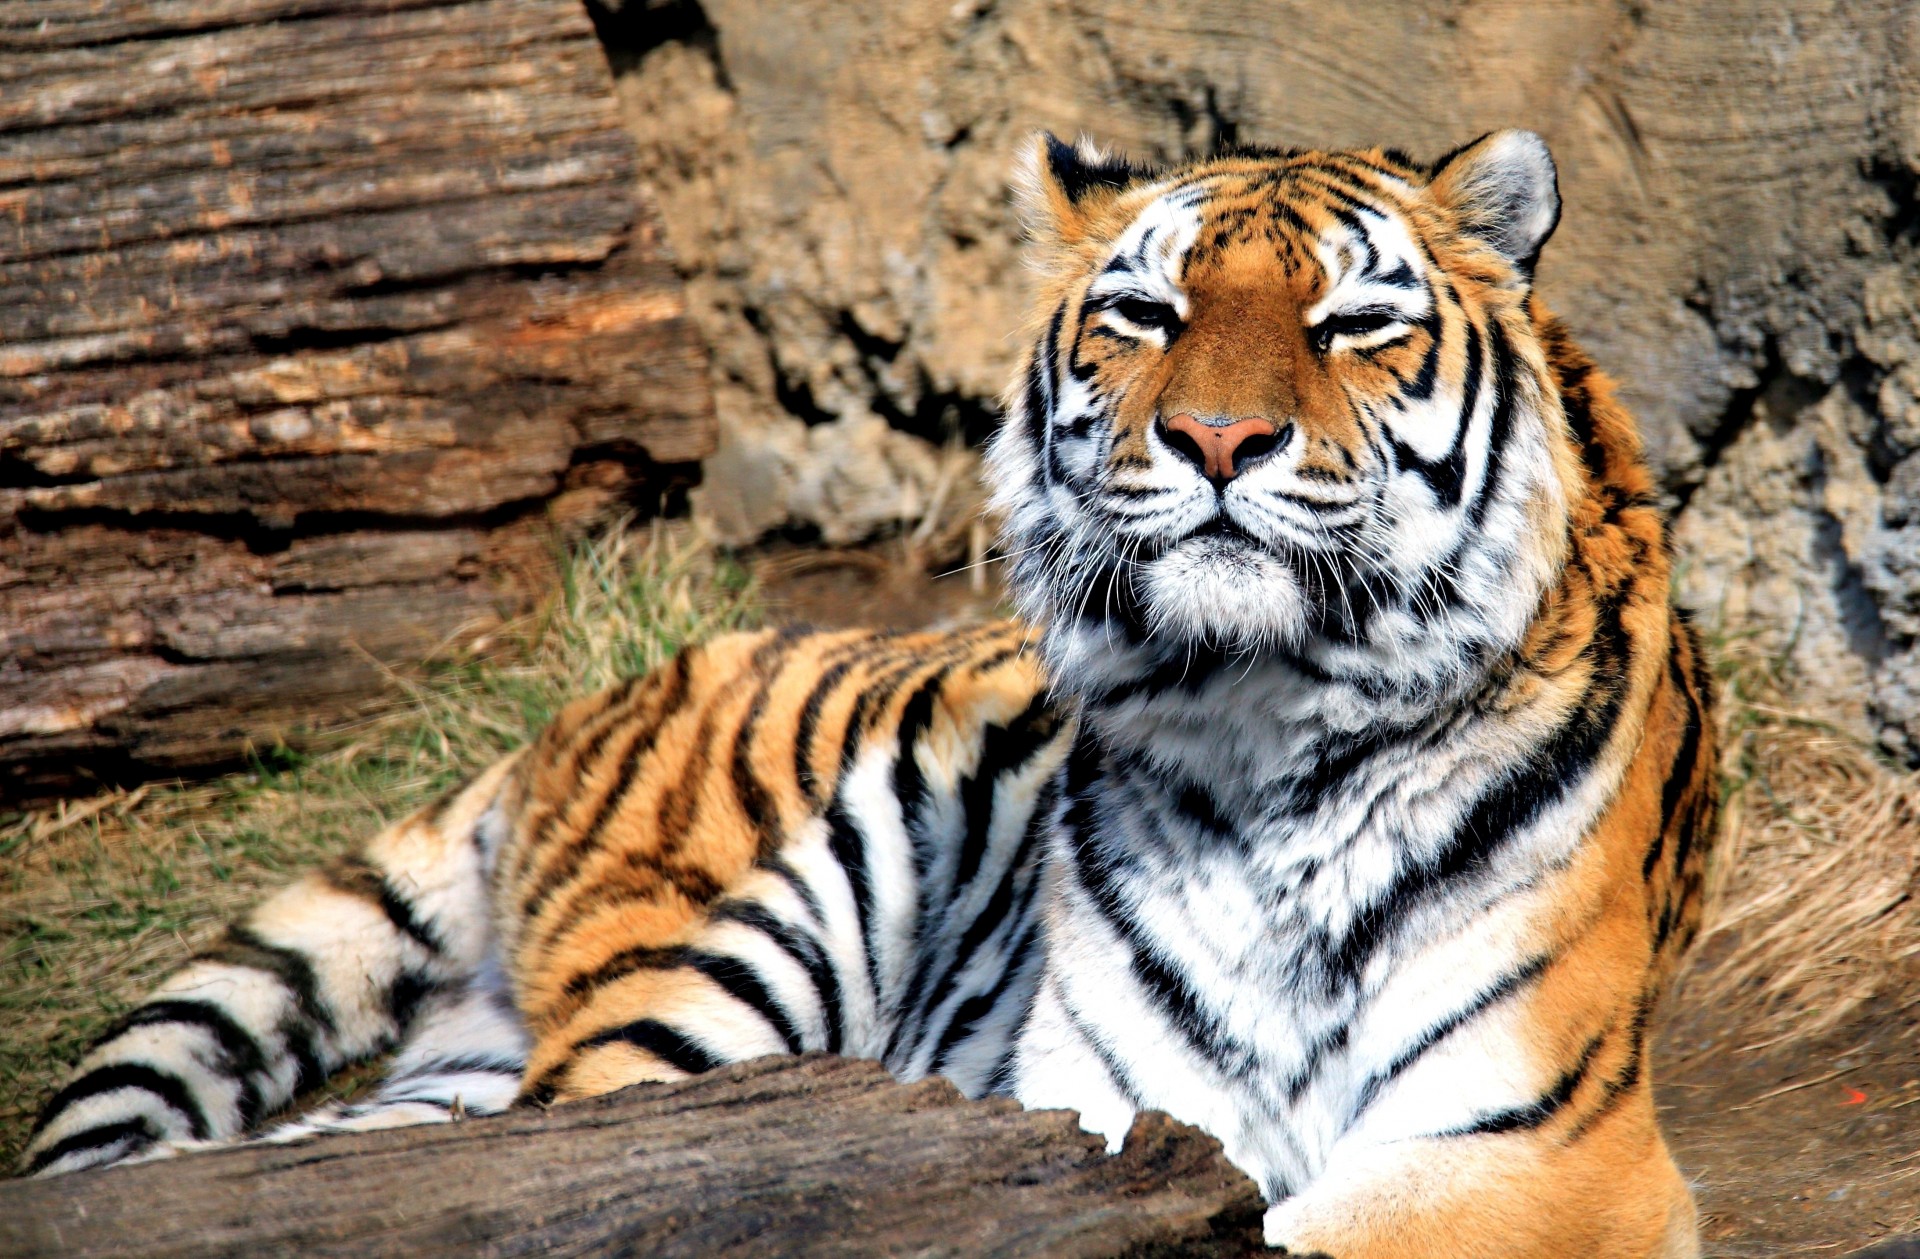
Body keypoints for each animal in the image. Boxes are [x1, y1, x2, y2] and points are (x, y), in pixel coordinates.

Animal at [22, 129, 1717, 1259]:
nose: (1219, 441)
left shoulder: (1532, 1148)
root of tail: (600, 698)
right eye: (1148, 315)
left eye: (1354, 324)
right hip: (747, 953)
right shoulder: (1101, 1106)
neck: (1262, 720)